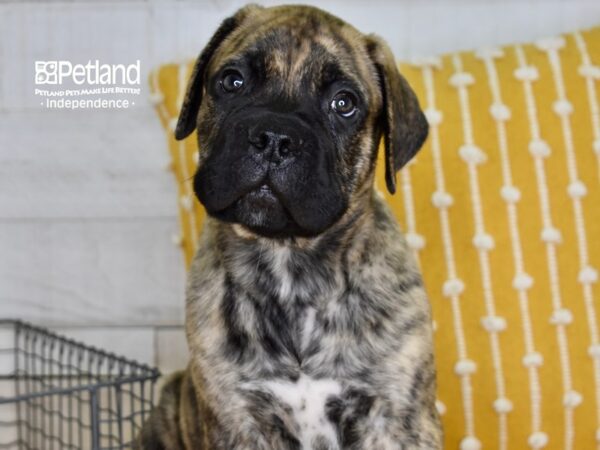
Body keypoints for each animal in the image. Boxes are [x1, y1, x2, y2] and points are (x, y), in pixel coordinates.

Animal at [138, 4, 442, 450]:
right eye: (232, 81)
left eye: (344, 103)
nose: (274, 138)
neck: (290, 264)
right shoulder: (239, 420)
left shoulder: (396, 420)